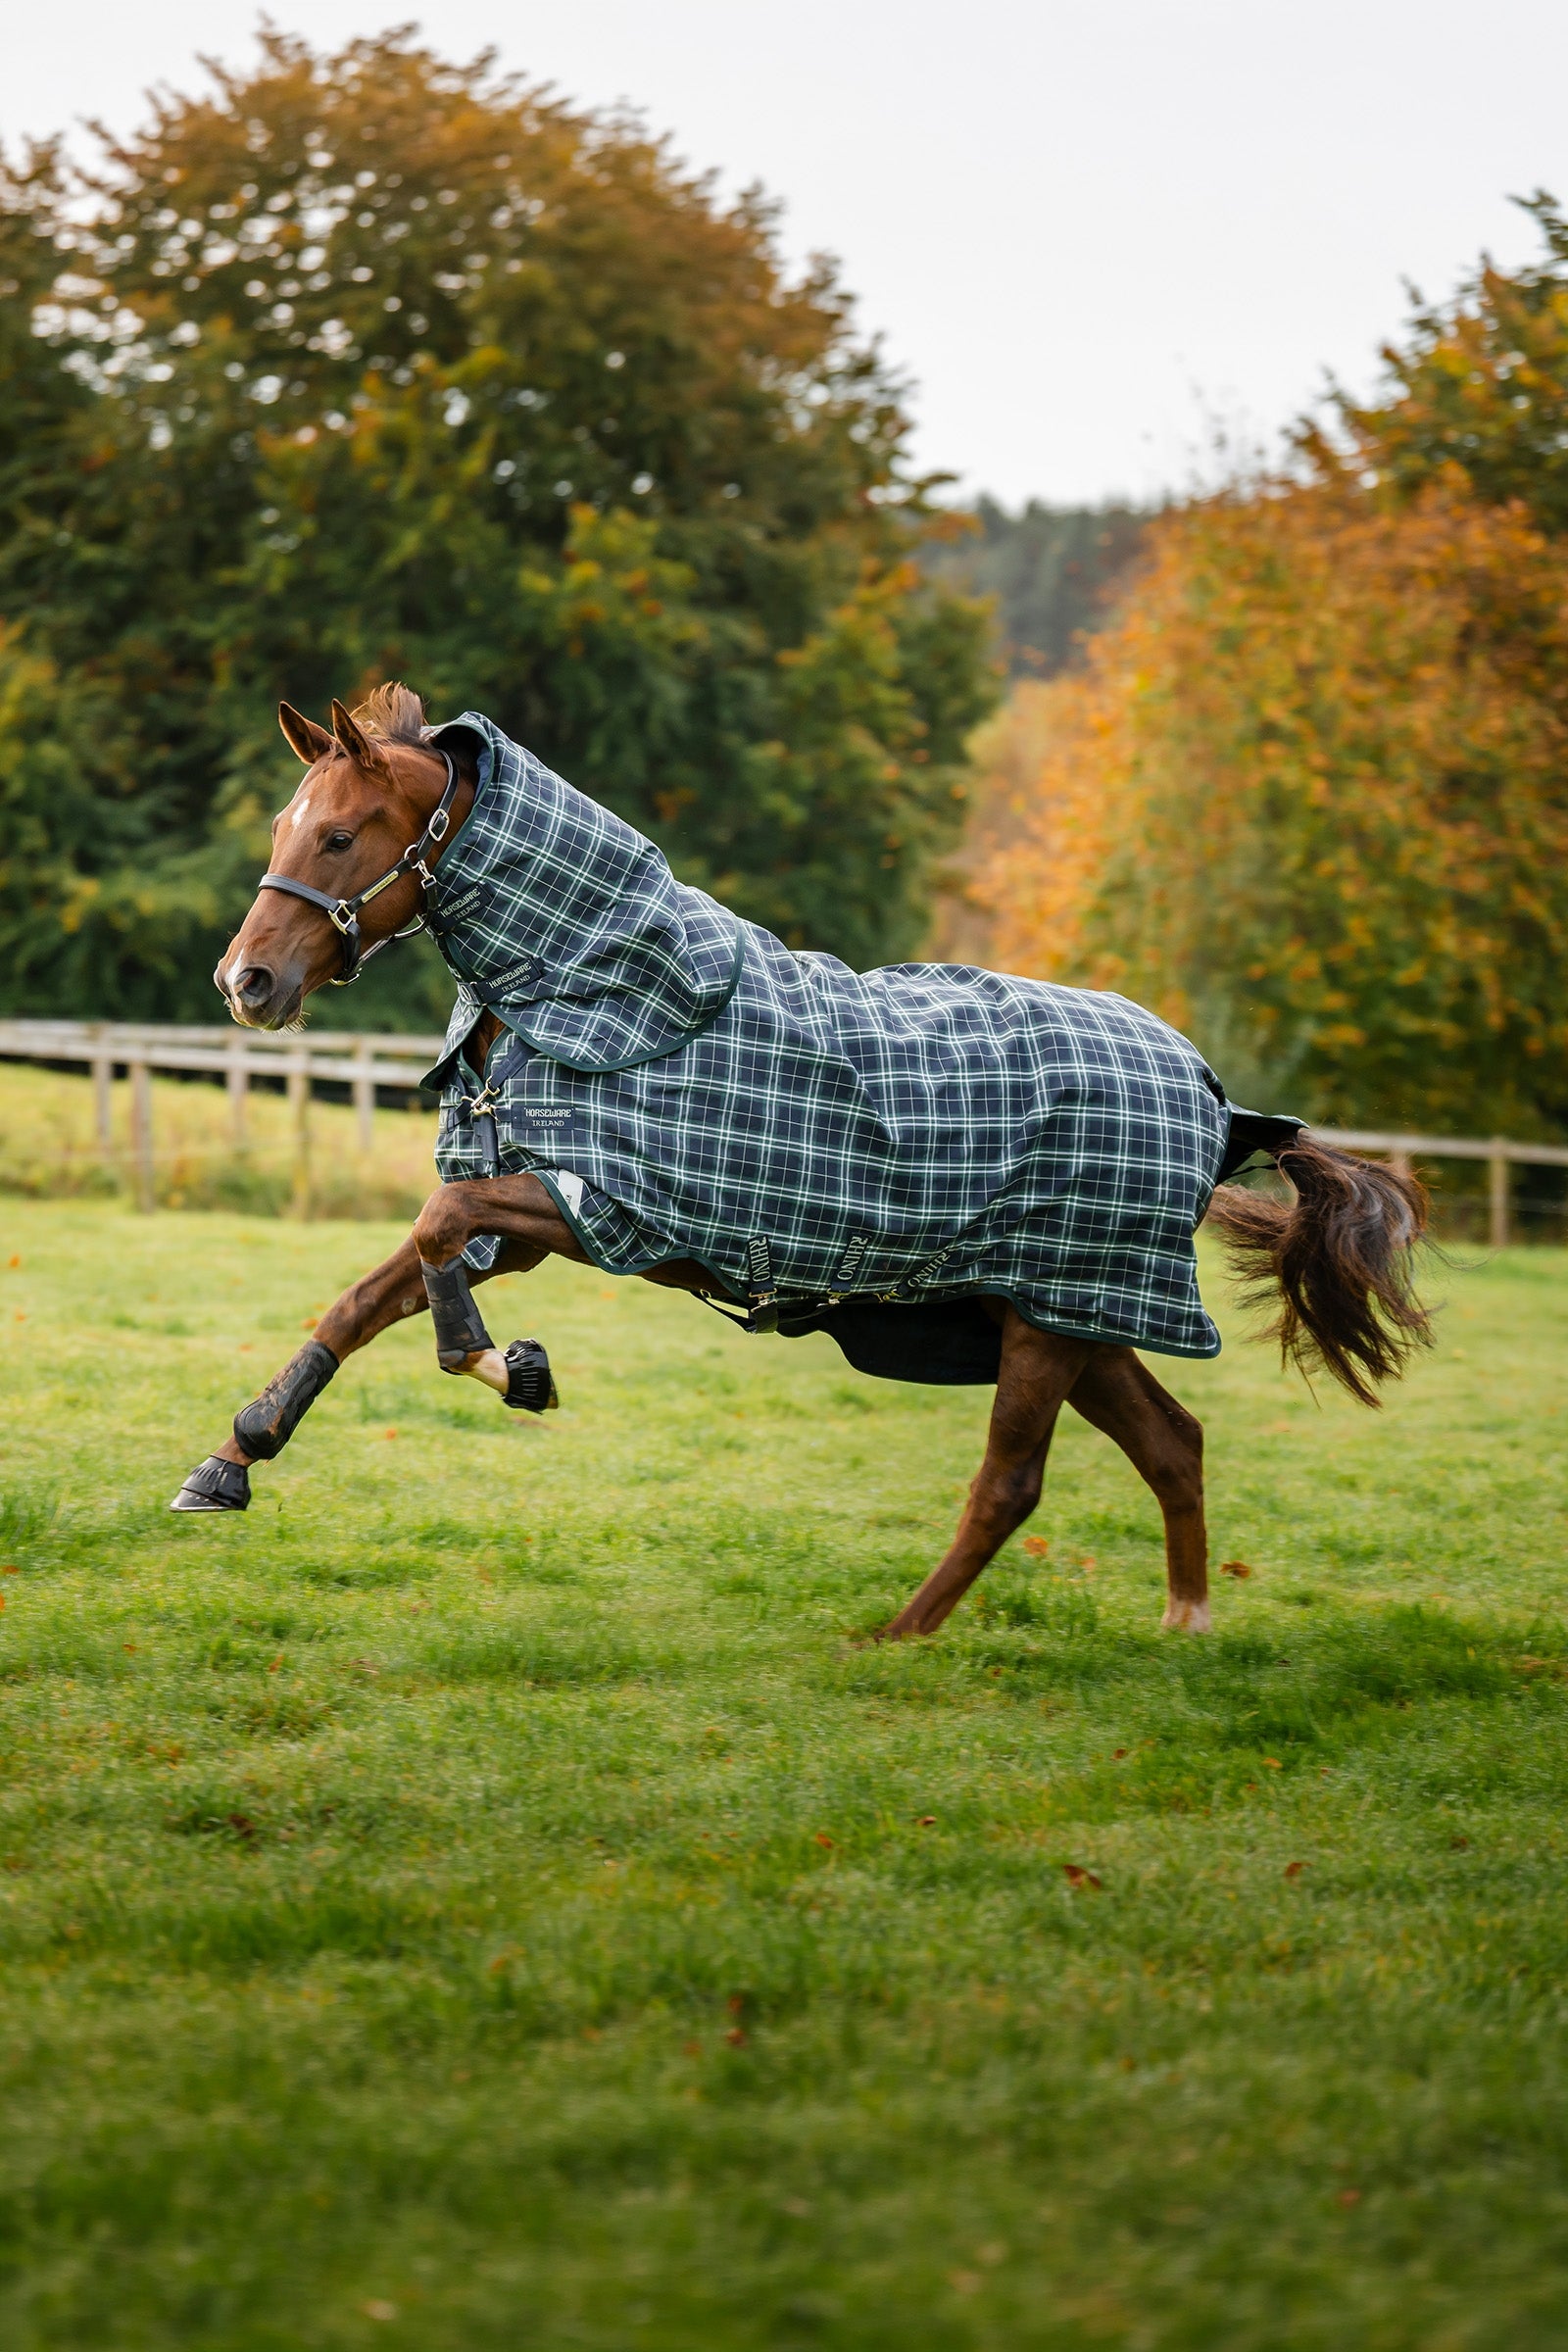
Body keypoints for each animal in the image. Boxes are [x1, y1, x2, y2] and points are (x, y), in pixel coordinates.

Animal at [171, 686, 1431, 1638]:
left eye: (339, 836)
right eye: (283, 829)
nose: (245, 982)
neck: (603, 992)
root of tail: (1210, 1090)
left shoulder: (602, 1209)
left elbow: (434, 1245)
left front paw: (506, 1368)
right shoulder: (524, 1214)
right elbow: (359, 1299)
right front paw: (234, 1458)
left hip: (1054, 1320)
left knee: (1010, 1484)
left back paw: (899, 1636)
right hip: (1059, 1310)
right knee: (1173, 1445)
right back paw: (1184, 1623)